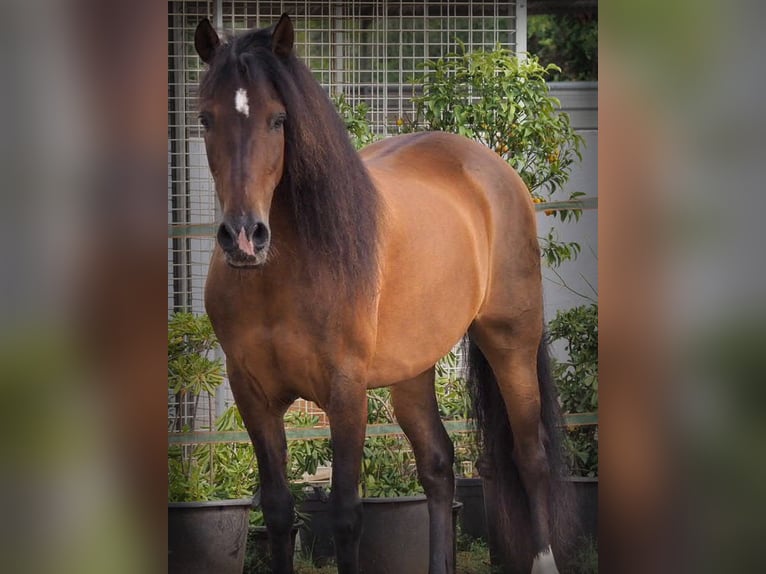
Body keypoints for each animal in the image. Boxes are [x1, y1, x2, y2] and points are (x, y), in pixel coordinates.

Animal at [195, 13, 572, 574]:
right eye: (205, 119)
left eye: (278, 120)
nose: (244, 237)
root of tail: (495, 171)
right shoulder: (252, 393)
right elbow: (280, 511)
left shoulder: (346, 391)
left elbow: (346, 515)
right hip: (413, 368)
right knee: (438, 464)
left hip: (511, 341)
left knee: (531, 455)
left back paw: (543, 558)